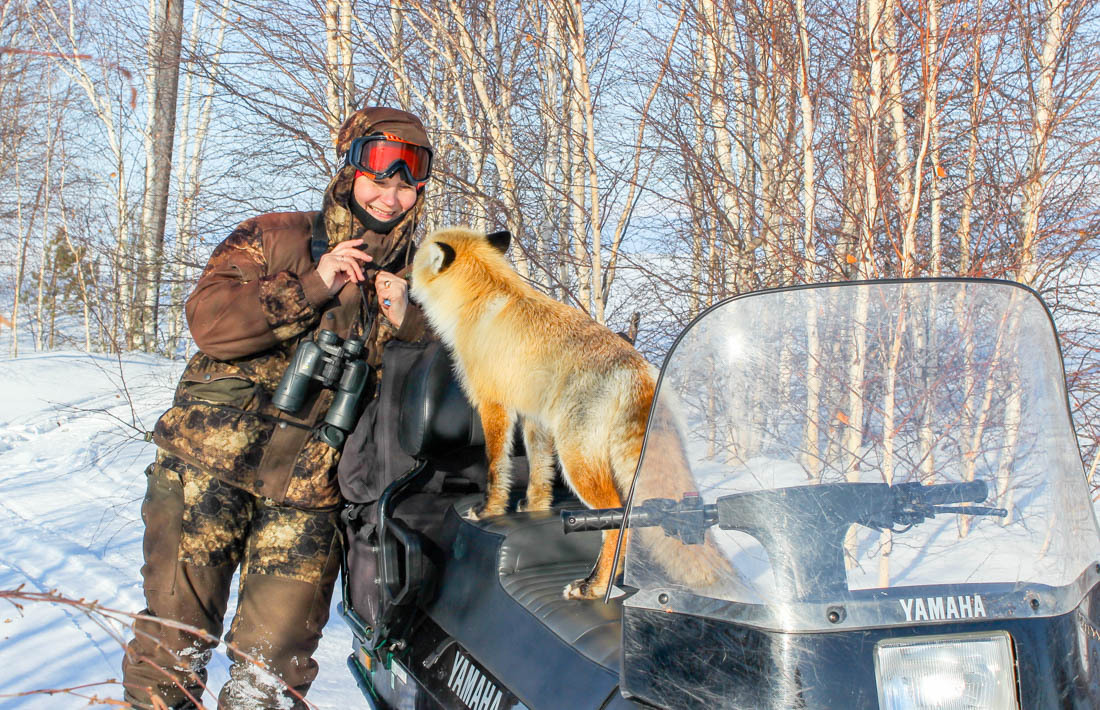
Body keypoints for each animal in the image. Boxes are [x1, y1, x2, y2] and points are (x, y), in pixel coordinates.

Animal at [409, 226, 726, 598]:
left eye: (415, 258)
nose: (401, 274)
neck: (480, 299)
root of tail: (638, 370)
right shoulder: (534, 416)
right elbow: (538, 470)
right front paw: (535, 506)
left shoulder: (493, 404)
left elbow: (495, 467)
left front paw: (490, 508)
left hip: (577, 460)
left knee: (618, 522)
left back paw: (594, 586)